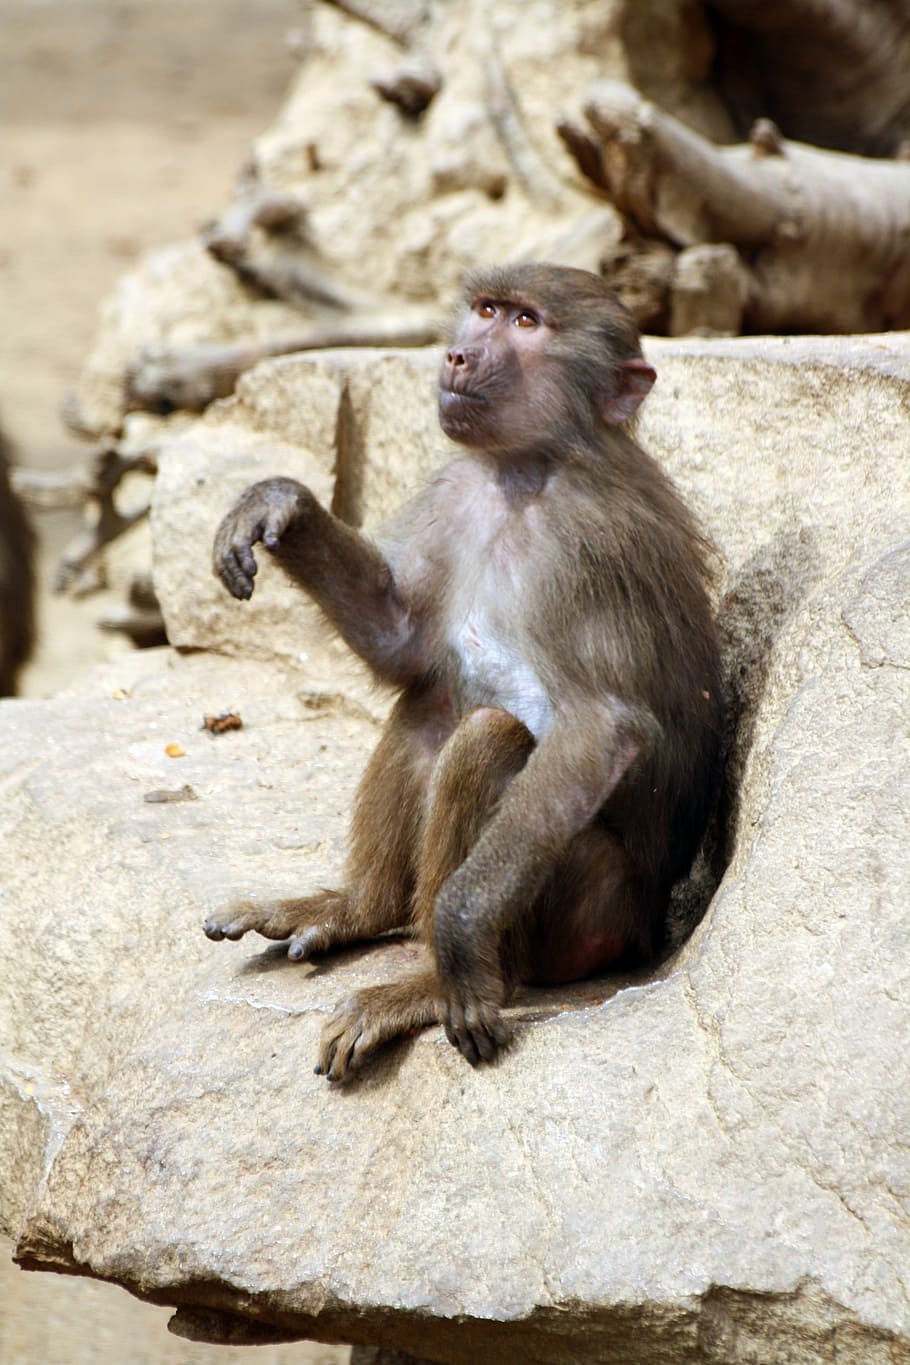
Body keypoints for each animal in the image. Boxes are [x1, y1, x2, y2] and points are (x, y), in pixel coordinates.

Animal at [205, 263, 723, 1081]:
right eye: (485, 309)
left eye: (526, 321)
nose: (456, 356)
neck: (524, 474)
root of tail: (647, 931)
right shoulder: (458, 491)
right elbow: (405, 644)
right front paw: (279, 505)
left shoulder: (590, 544)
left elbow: (602, 728)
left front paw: (456, 932)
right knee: (430, 709)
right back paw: (359, 910)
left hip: (588, 913)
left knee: (484, 738)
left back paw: (434, 980)